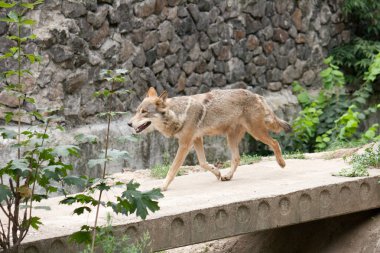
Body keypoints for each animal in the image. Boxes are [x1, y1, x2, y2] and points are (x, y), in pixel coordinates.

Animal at [127, 87, 290, 190]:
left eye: (144, 112)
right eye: (137, 111)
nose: (129, 123)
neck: (178, 114)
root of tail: (257, 95)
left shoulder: (185, 144)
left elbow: (172, 169)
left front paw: (163, 186)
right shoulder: (197, 139)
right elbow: (203, 163)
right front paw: (217, 172)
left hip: (256, 133)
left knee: (275, 143)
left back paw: (281, 163)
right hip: (231, 138)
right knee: (237, 158)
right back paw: (227, 176)